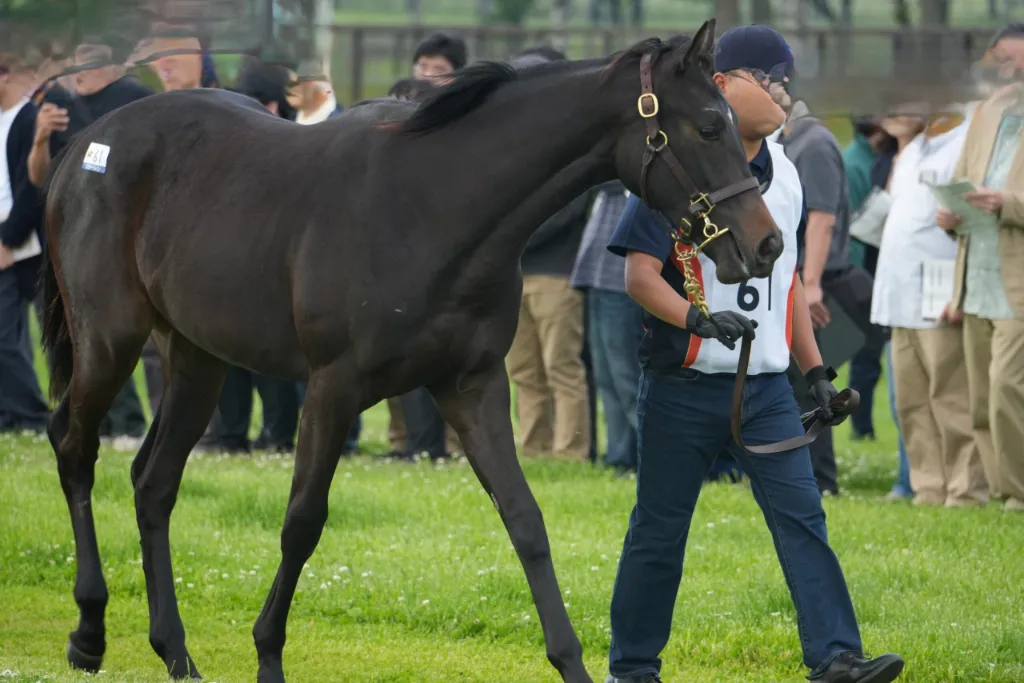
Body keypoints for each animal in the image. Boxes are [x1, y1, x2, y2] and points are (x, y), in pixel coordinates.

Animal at [40, 19, 782, 683]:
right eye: (709, 127)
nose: (768, 244)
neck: (432, 204)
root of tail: (84, 147)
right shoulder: (333, 388)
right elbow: (303, 520)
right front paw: (269, 655)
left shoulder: (471, 386)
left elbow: (525, 519)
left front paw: (571, 661)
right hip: (110, 339)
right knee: (73, 447)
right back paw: (87, 631)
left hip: (198, 357)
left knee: (153, 482)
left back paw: (174, 651)